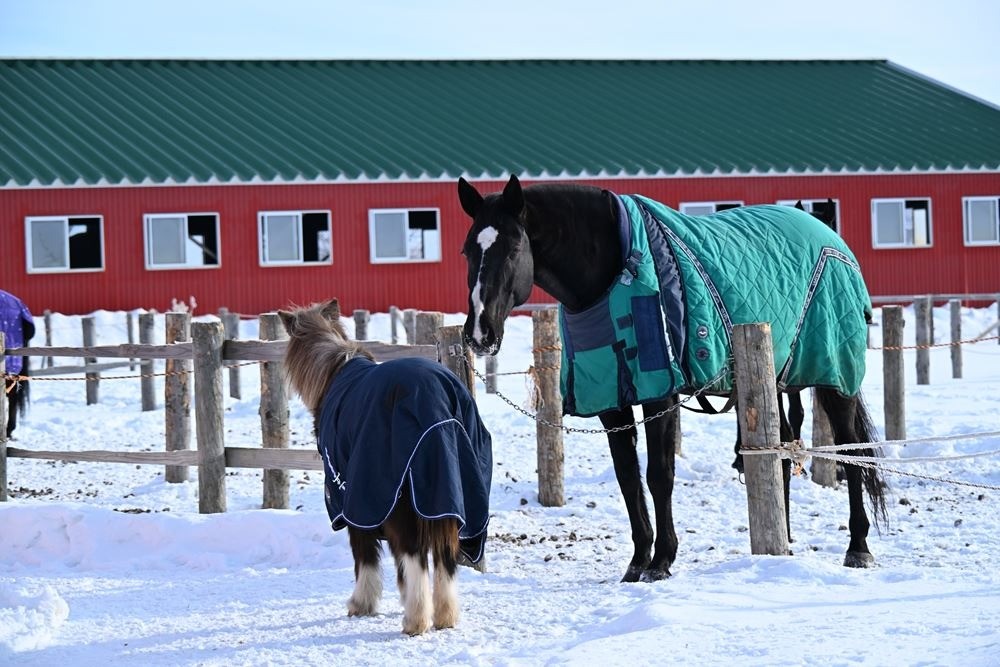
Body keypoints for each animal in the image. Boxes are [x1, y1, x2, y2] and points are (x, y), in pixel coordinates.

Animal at [278, 300, 492, 636]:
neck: (335, 372)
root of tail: (438, 403)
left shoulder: (357, 502)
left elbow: (365, 555)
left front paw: (361, 604)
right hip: (449, 499)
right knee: (443, 557)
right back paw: (444, 616)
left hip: (402, 503)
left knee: (415, 553)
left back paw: (416, 620)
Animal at [458, 176, 888, 584]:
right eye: (468, 251)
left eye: (513, 249)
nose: (480, 333)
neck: (613, 273)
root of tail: (832, 239)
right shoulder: (612, 405)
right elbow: (628, 479)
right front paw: (637, 561)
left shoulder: (659, 398)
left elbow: (658, 476)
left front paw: (661, 561)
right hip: (773, 381)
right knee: (780, 449)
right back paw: (783, 543)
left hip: (834, 379)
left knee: (852, 452)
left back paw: (858, 546)